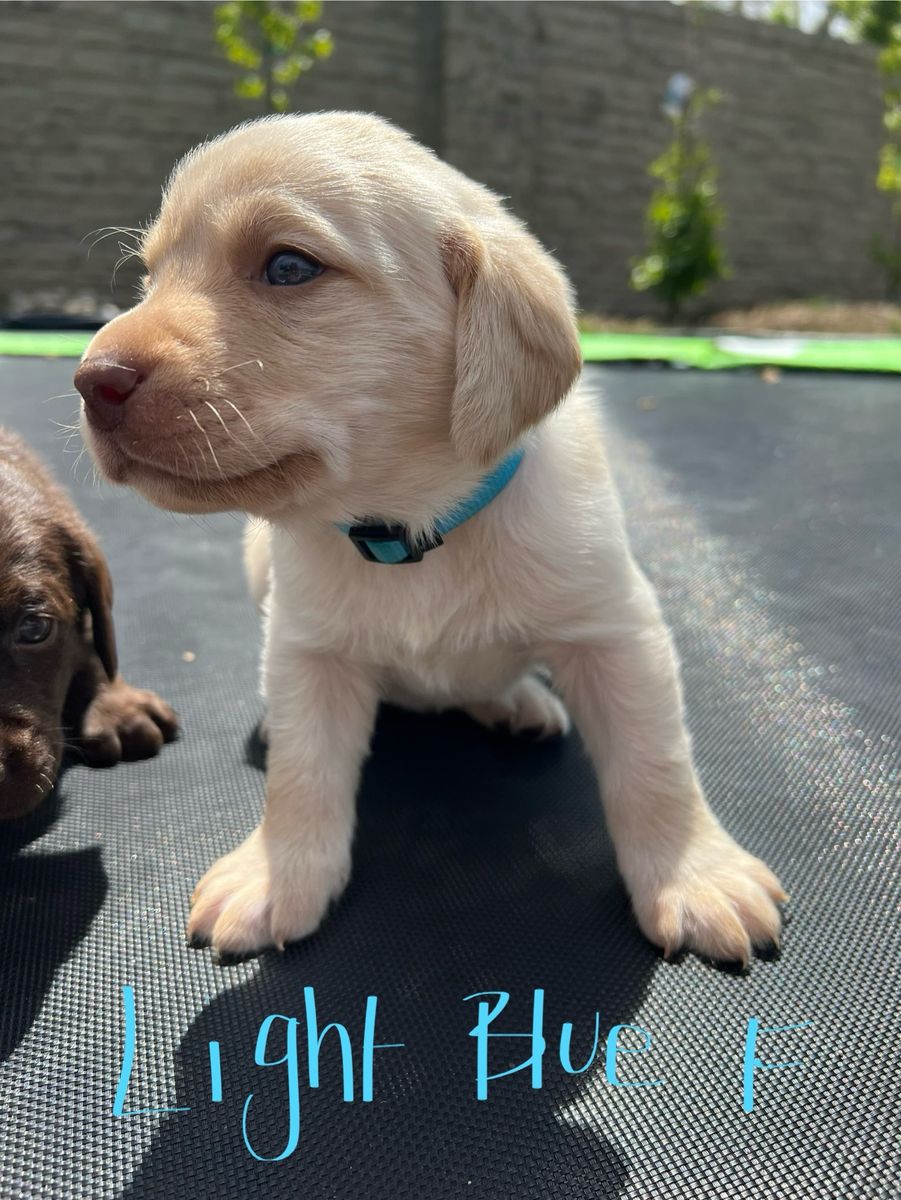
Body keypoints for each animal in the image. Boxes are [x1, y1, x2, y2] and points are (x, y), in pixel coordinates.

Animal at [75, 112, 786, 965]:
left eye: (288, 266)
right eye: (150, 277)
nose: (90, 381)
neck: (410, 527)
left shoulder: (618, 632)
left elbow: (656, 764)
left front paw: (696, 873)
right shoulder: (307, 648)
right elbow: (302, 777)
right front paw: (276, 874)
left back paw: (515, 699)